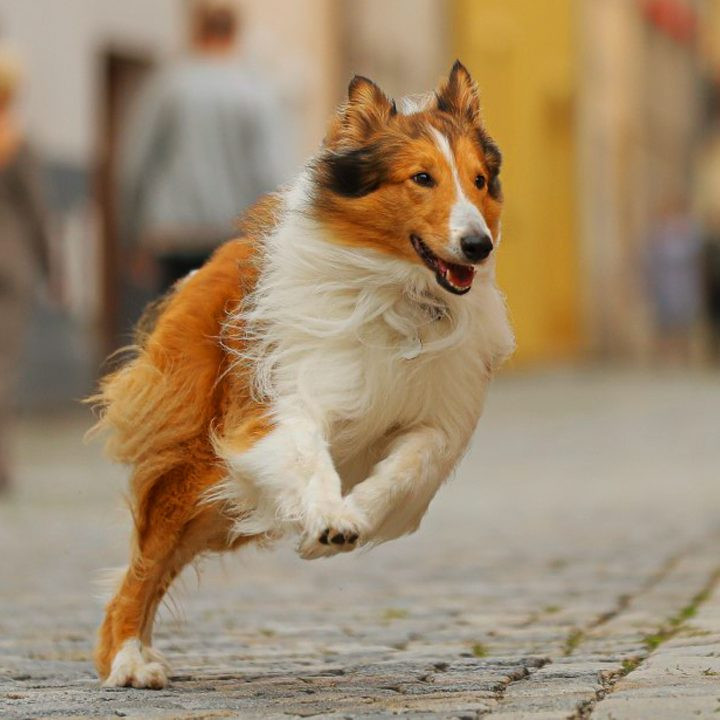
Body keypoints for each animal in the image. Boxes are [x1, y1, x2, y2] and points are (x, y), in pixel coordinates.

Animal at [90, 63, 516, 692]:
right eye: (422, 178)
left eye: (480, 180)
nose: (478, 245)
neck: (398, 294)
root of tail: (206, 266)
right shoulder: (280, 405)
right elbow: (308, 459)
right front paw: (330, 520)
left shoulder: (437, 422)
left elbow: (406, 472)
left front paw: (344, 526)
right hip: (196, 465)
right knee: (142, 565)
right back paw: (126, 659)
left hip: (218, 506)